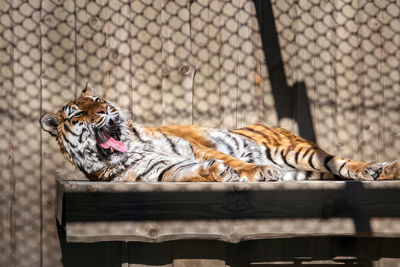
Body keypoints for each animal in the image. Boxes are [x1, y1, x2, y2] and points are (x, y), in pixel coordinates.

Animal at [39, 82, 400, 183]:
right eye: (78, 112)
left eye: (97, 100)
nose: (105, 112)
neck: (133, 145)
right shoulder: (159, 170)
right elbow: (186, 173)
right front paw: (216, 173)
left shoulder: (197, 147)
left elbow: (235, 160)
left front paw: (256, 171)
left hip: (297, 151)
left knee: (342, 163)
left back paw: (377, 169)